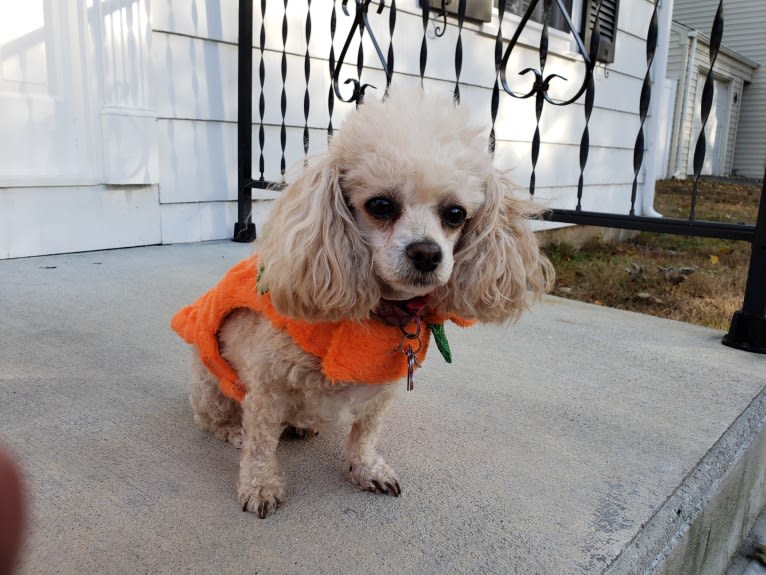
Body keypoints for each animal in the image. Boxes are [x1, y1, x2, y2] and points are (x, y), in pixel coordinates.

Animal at [172, 89, 552, 516]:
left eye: (455, 214)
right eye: (381, 205)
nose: (427, 254)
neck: (380, 313)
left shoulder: (381, 391)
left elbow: (364, 435)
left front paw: (366, 468)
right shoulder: (266, 388)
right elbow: (260, 445)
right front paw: (261, 484)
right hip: (212, 385)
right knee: (212, 419)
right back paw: (231, 429)